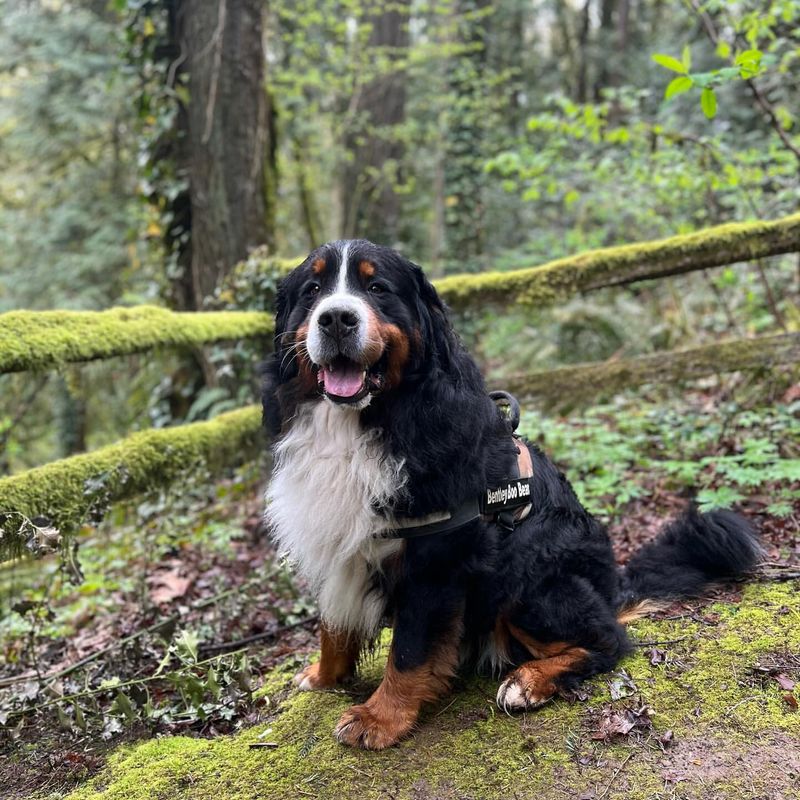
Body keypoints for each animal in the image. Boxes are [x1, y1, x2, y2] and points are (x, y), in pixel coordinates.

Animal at [262, 239, 764, 752]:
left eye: (377, 288)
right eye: (314, 289)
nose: (336, 318)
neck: (369, 423)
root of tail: (611, 585)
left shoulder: (435, 558)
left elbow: (408, 651)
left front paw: (380, 718)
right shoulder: (335, 538)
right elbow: (333, 625)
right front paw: (324, 676)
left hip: (526, 572)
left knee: (609, 641)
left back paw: (530, 681)